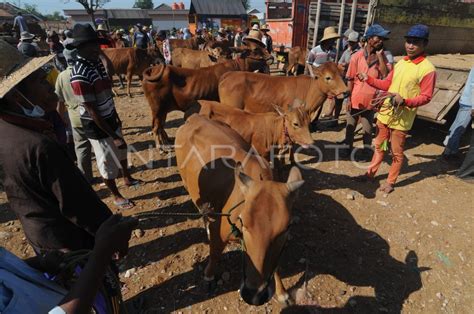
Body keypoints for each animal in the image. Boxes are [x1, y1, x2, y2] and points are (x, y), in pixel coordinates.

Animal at [174, 114, 304, 306]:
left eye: (287, 227)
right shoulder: (219, 230)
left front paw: (282, 292)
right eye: (242, 221)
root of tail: (195, 117)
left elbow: (275, 265)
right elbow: (215, 252)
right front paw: (209, 276)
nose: (254, 294)